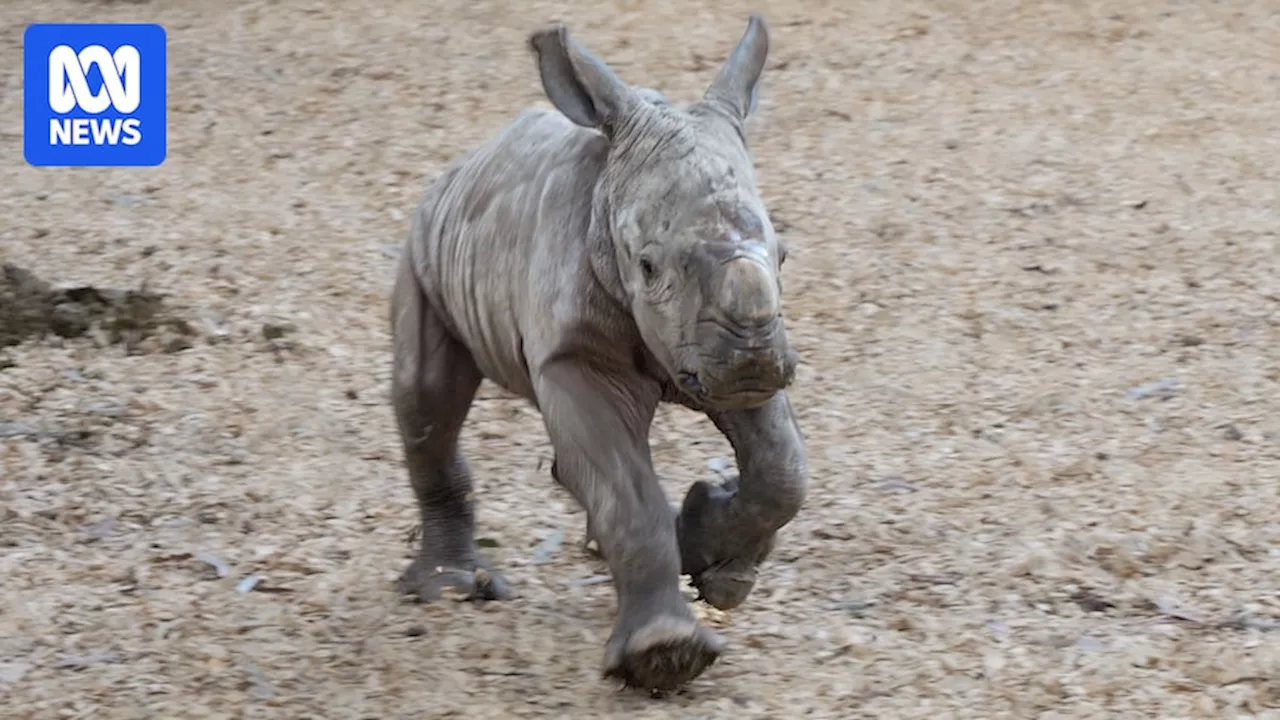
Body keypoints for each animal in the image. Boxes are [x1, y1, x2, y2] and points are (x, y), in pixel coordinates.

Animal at [389, 14, 808, 691]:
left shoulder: (713, 352)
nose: (753, 361)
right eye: (648, 266)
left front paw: (713, 562)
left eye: (786, 257)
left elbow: (782, 466)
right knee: (427, 401)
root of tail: (463, 163)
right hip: (424, 244)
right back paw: (449, 591)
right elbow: (624, 490)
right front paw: (665, 658)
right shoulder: (573, 355)